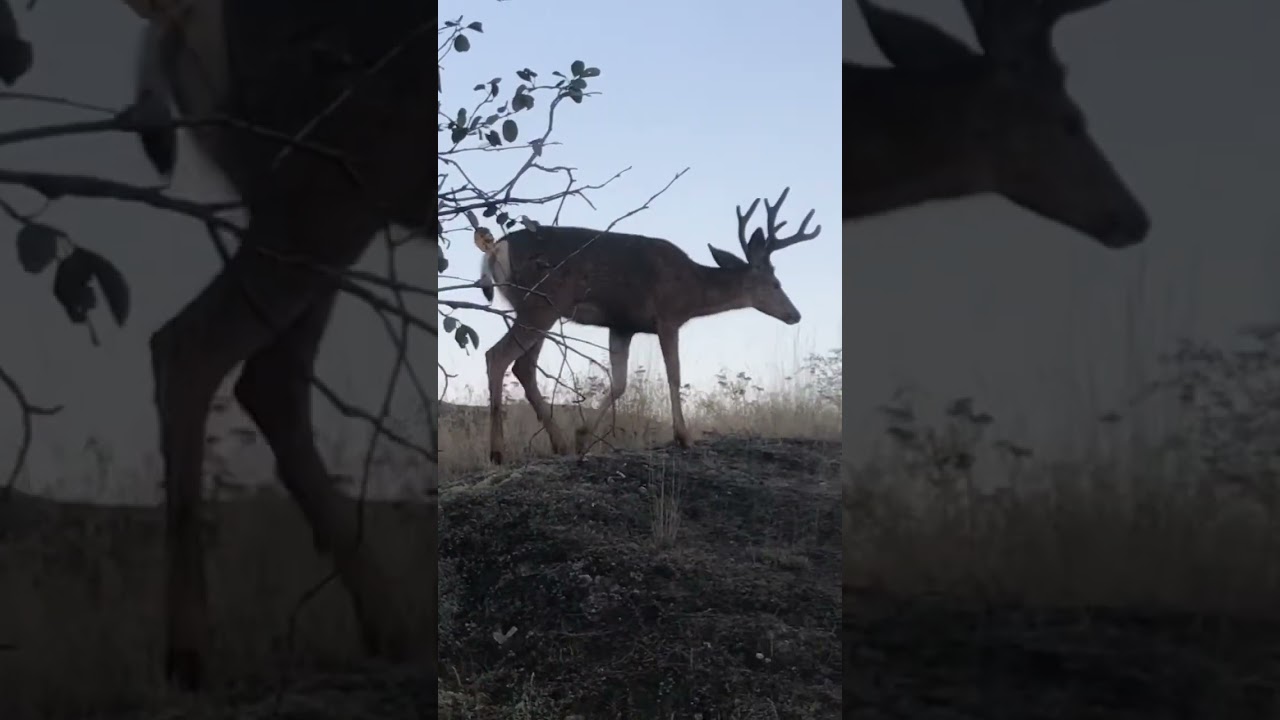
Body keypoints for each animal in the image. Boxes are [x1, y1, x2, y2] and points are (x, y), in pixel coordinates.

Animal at [123, 0, 433, 690]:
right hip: (326, 179)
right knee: (191, 345)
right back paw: (188, 651)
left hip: (320, 199)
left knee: (270, 378)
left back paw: (390, 625)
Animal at [479, 187, 821, 465]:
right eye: (776, 284)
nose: (795, 314)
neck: (693, 288)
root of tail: (495, 248)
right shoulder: (668, 317)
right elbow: (674, 375)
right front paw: (684, 437)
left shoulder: (622, 325)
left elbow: (619, 382)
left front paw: (582, 436)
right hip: (540, 304)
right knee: (498, 356)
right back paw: (497, 452)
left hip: (536, 308)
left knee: (523, 367)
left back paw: (559, 443)